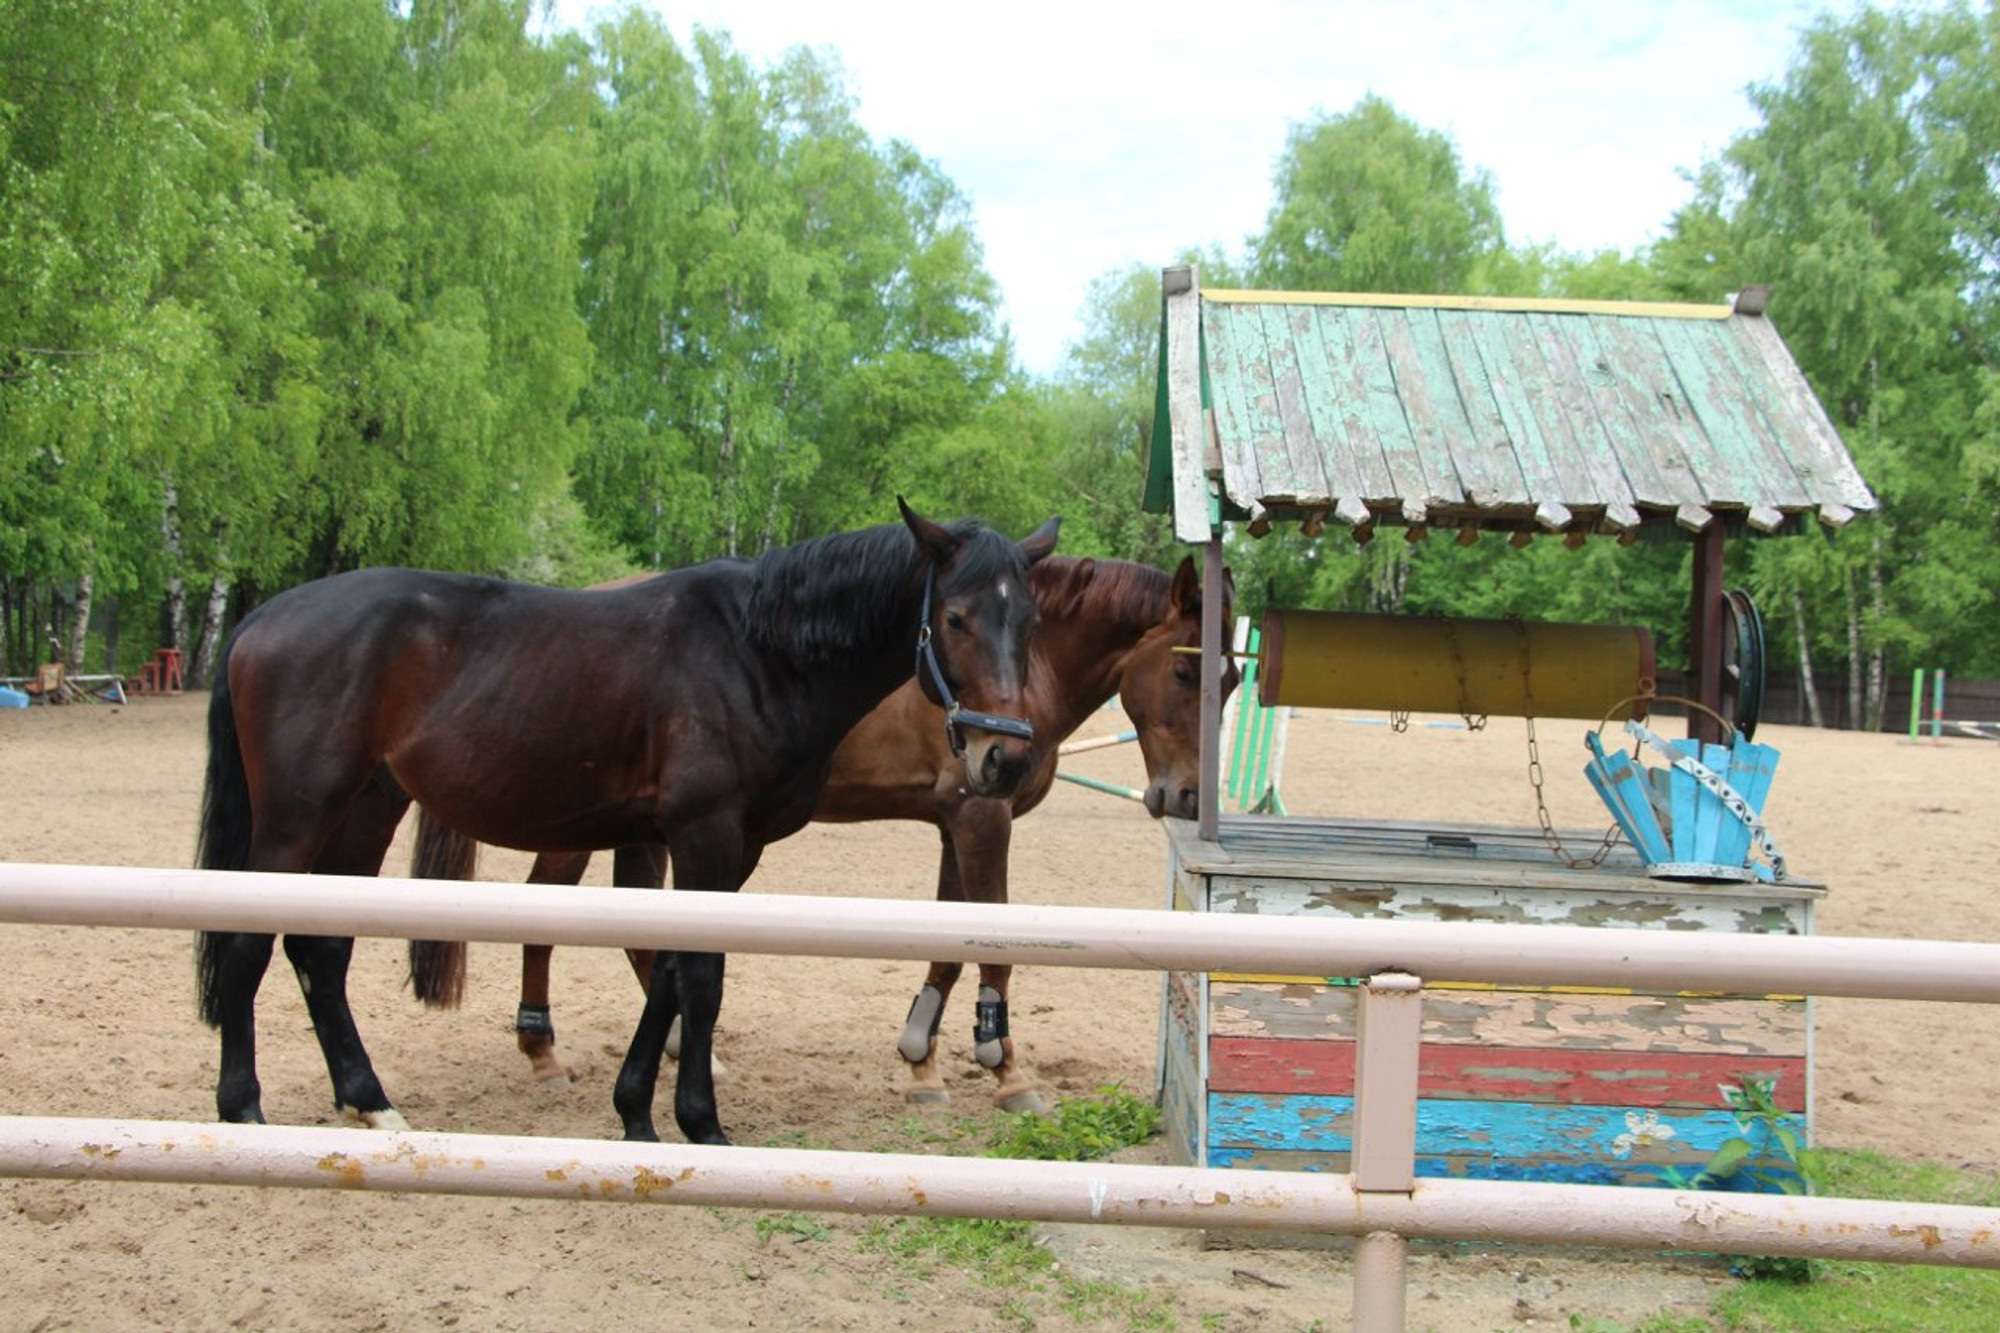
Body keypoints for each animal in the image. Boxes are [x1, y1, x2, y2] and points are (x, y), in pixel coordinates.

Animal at [195, 500, 1064, 1144]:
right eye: (955, 617)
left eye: (1031, 621)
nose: (1002, 757)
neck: (759, 650)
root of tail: (261, 618)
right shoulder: (706, 834)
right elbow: (701, 978)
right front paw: (702, 1122)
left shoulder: (734, 846)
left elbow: (673, 971)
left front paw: (638, 1113)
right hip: (297, 816)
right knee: (247, 945)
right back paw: (243, 1107)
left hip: (366, 808)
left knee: (320, 950)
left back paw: (368, 1100)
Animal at [408, 548, 1224, 1112]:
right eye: (1186, 673)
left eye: (1235, 680)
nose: (1185, 794)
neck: (1018, 670)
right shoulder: (980, 818)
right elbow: (993, 939)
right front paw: (1007, 1070)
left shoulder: (953, 824)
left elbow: (950, 941)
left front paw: (922, 1060)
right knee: (548, 914)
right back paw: (545, 1050)